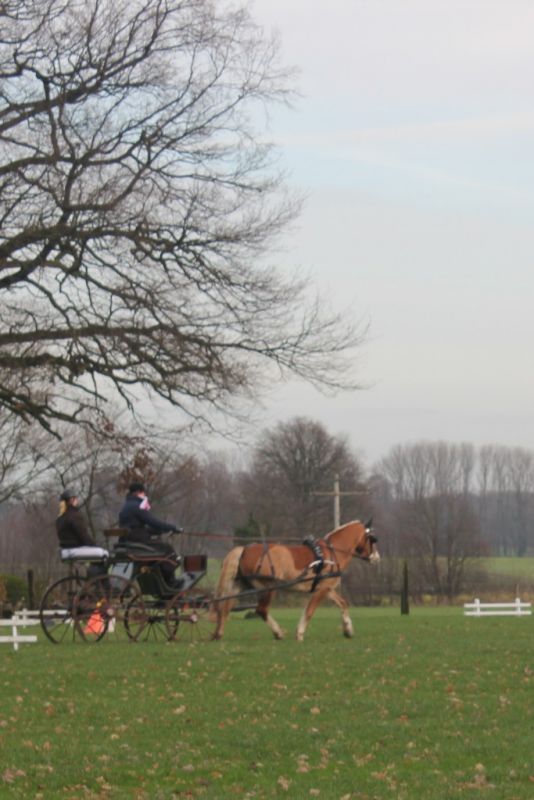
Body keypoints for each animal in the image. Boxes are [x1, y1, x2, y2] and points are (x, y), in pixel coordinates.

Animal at [213, 519, 379, 642]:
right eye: (372, 539)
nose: (377, 558)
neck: (332, 553)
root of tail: (245, 549)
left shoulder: (327, 588)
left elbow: (343, 603)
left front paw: (348, 630)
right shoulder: (321, 590)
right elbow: (309, 611)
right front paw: (299, 633)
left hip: (239, 585)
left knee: (225, 607)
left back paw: (218, 634)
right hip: (269, 588)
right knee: (261, 610)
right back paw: (278, 633)